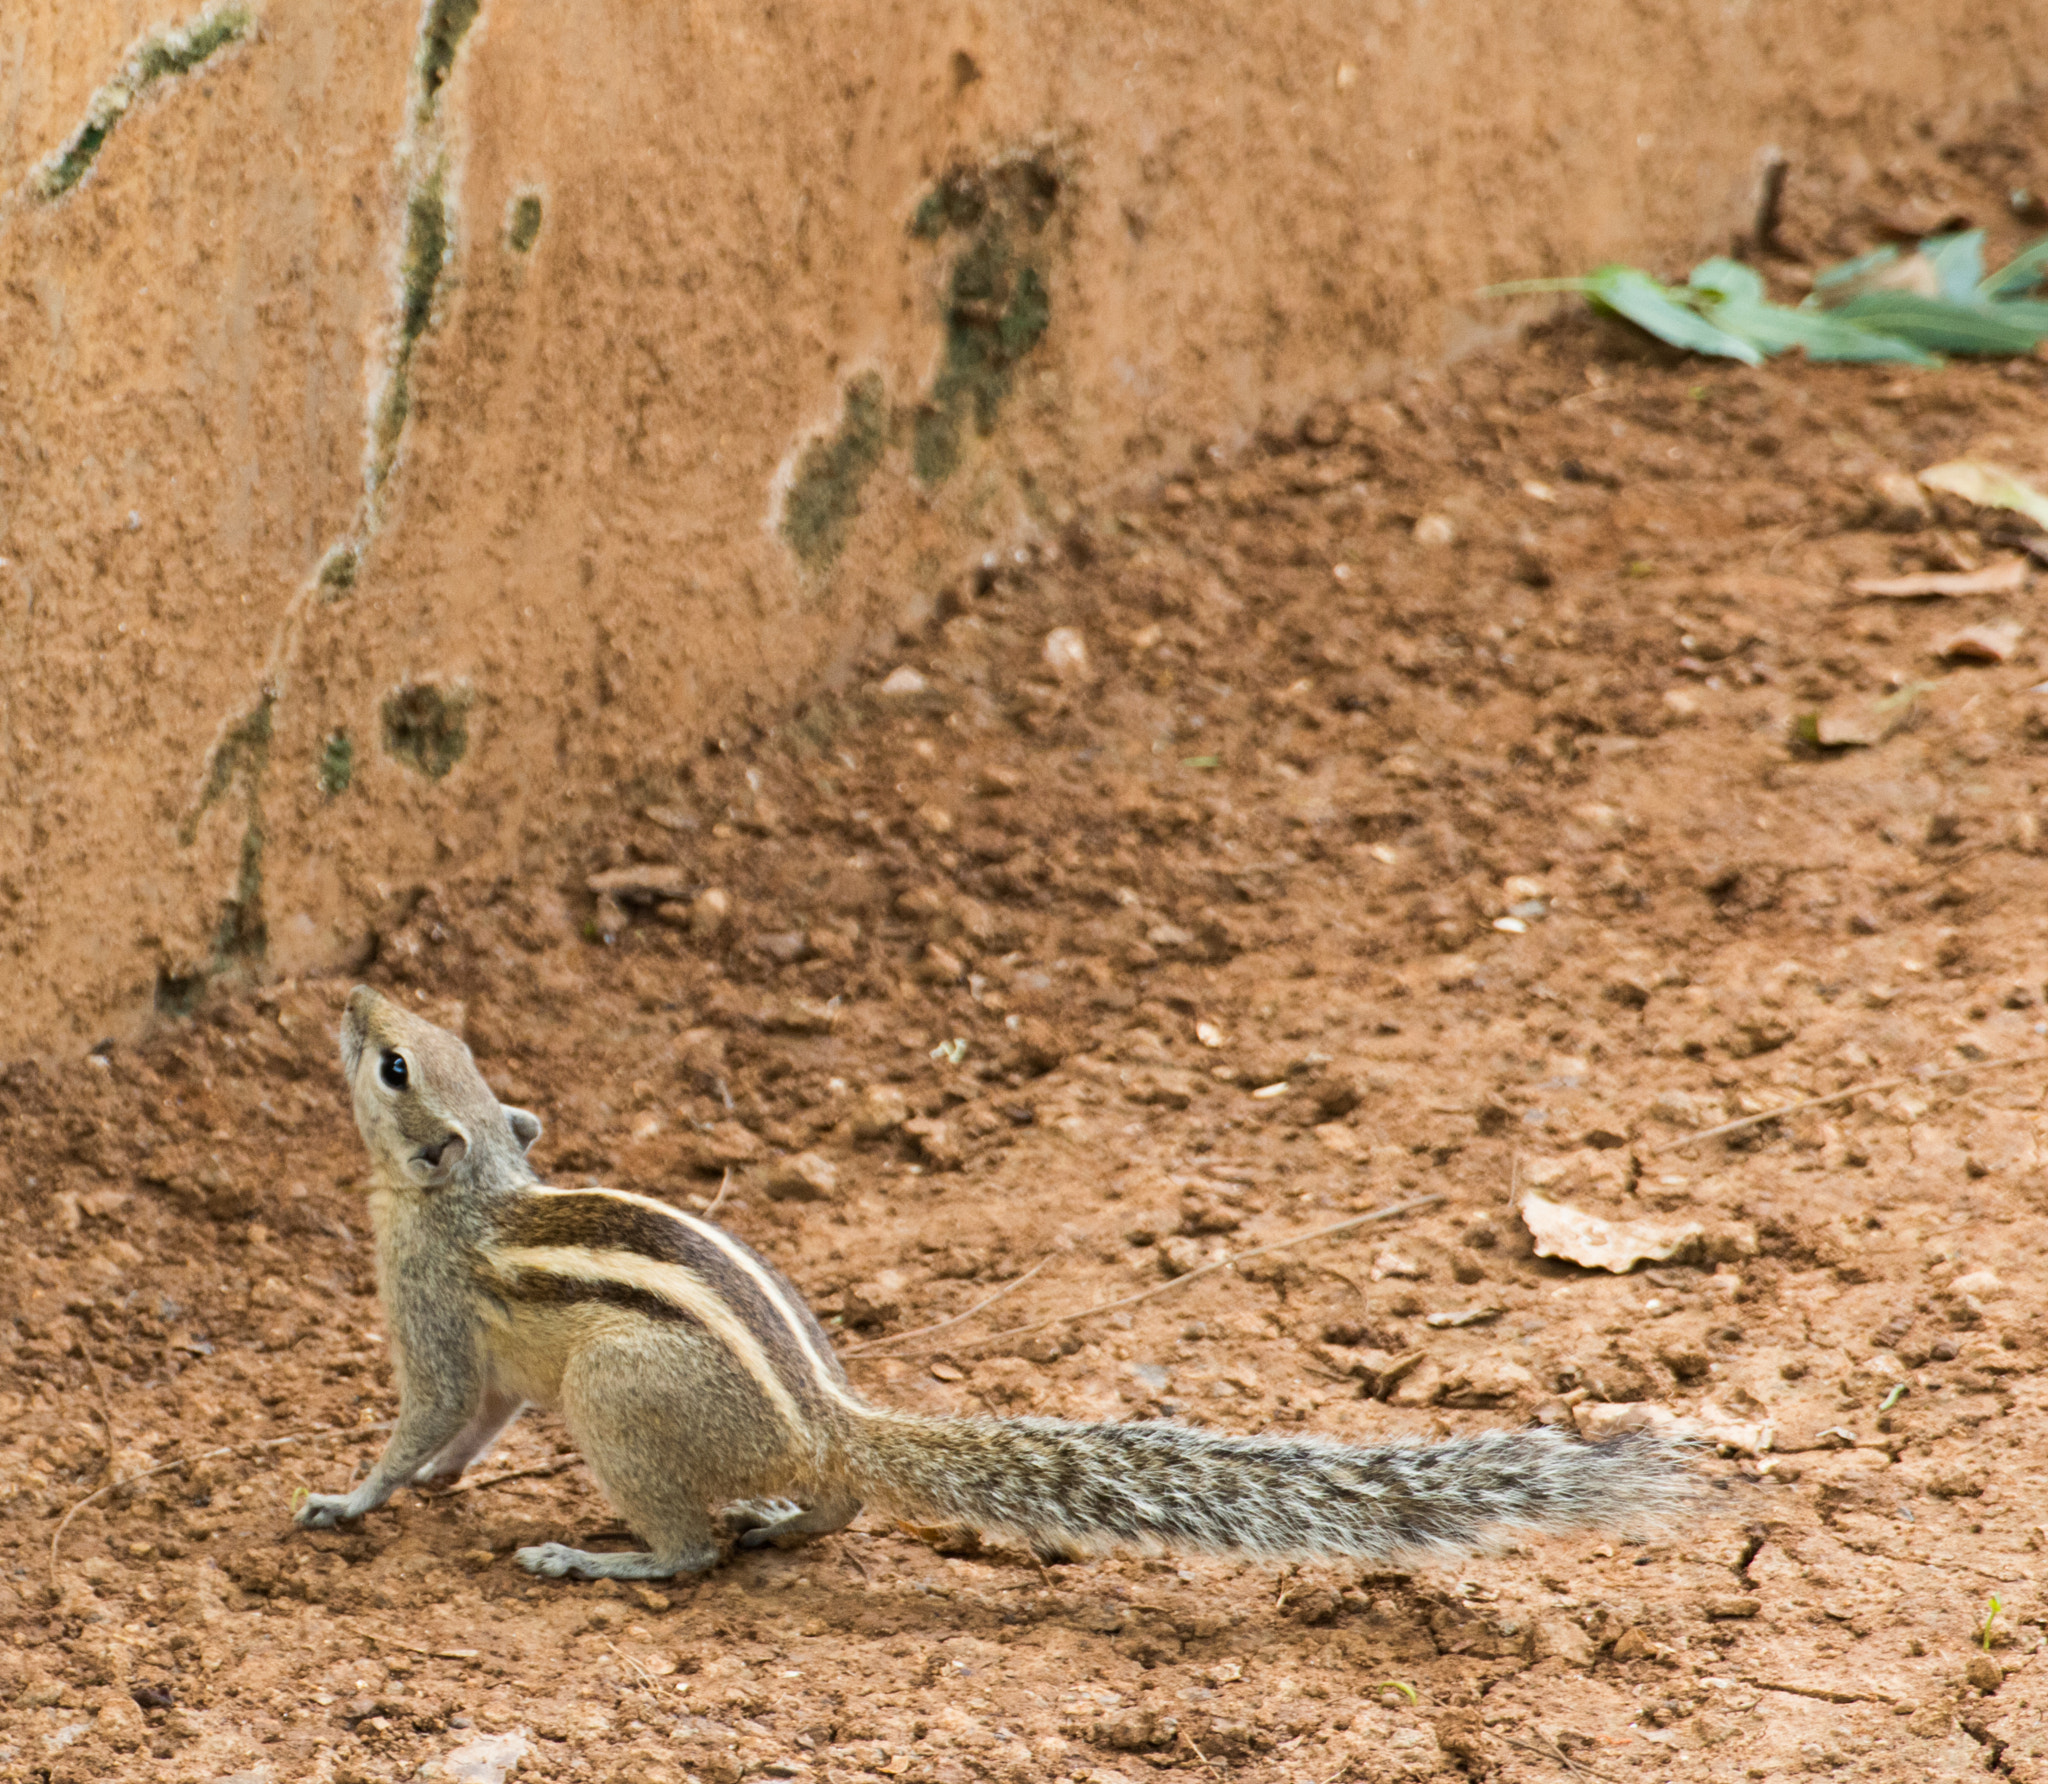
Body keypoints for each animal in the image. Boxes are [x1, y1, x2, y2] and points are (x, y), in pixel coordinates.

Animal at [295, 986, 1697, 1581]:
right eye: (432, 1039)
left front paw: (353, 1495)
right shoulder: (481, 1358)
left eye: (396, 1064)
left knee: (695, 1551)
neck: (469, 1194)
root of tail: (835, 1424)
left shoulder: (433, 1318)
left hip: (614, 1394)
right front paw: (434, 1482)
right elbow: (474, 1422)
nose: (354, 992)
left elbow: (427, 1416)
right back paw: (779, 1517)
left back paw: (605, 1558)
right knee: (827, 1509)